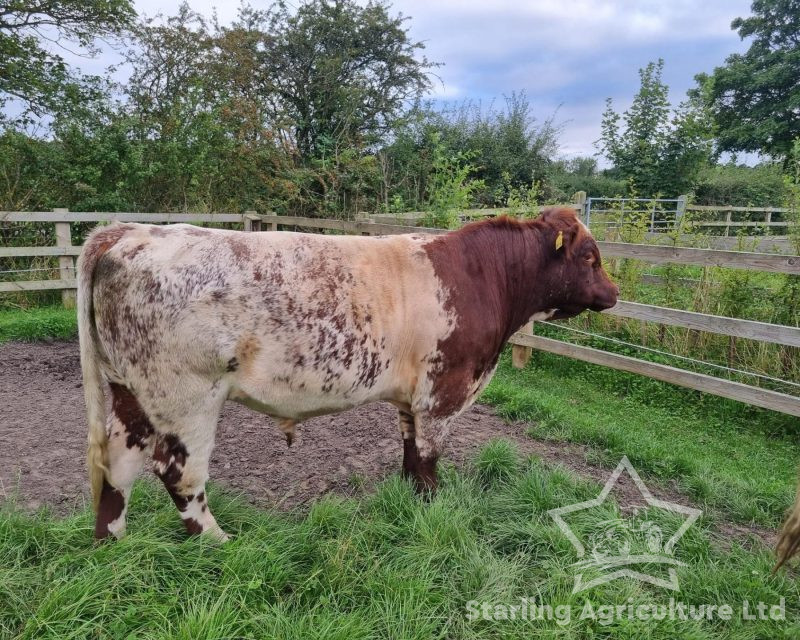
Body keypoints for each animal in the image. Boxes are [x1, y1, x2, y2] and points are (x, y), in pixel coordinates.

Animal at [79, 208, 620, 536]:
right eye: (590, 256)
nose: (614, 294)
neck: (484, 279)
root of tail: (132, 231)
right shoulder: (441, 393)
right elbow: (429, 459)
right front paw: (432, 508)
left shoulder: (410, 399)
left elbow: (409, 453)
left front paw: (408, 502)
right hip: (186, 396)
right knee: (178, 472)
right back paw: (217, 542)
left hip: (131, 391)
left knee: (118, 464)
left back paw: (115, 542)